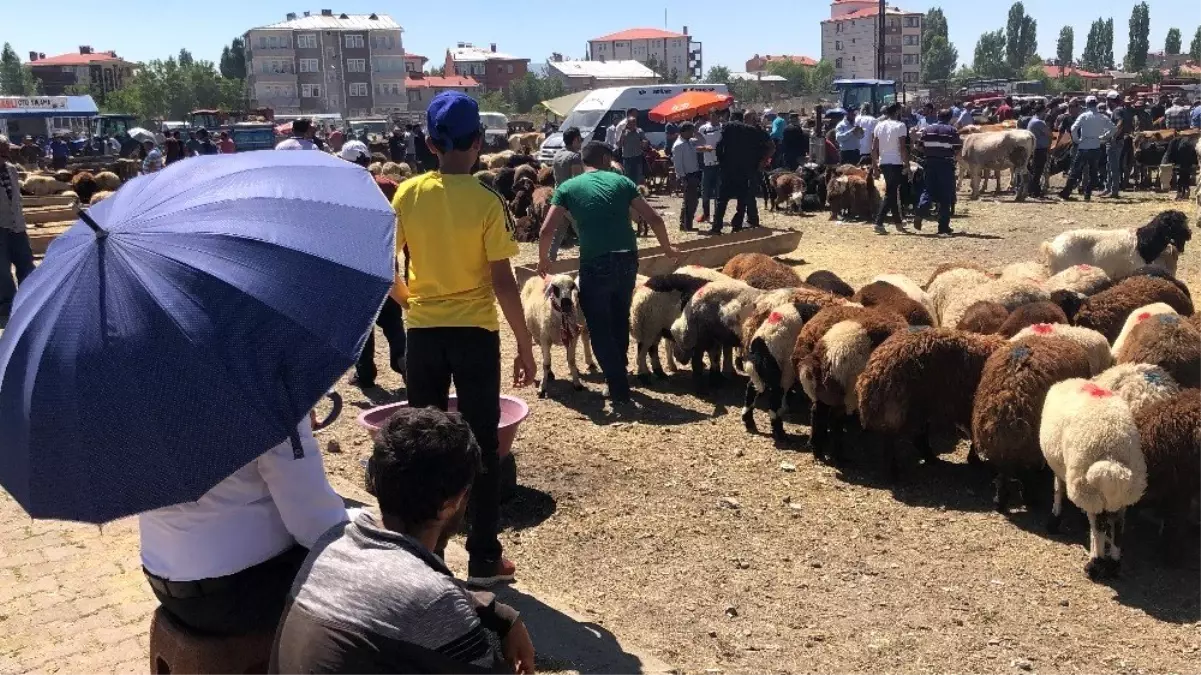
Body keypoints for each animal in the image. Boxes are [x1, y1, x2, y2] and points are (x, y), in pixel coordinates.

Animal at [792, 306, 903, 458]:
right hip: (847, 393)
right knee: (835, 420)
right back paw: (839, 455)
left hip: (826, 393)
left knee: (818, 413)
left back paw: (817, 449)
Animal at [859, 326, 1008, 478]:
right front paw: (975, 460)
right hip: (906, 407)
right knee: (897, 438)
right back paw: (895, 470)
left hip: (917, 408)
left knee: (915, 437)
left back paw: (929, 458)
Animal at [970, 333, 1095, 511]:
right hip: (1028, 449)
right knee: (1024, 477)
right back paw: (1029, 500)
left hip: (1000, 454)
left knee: (1002, 477)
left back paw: (1000, 502)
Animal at [1037, 379, 1148, 578]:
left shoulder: (1059, 466)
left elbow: (1058, 490)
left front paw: (1054, 518)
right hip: (1123, 493)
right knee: (1118, 526)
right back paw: (1113, 564)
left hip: (1088, 488)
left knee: (1098, 527)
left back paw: (1095, 563)